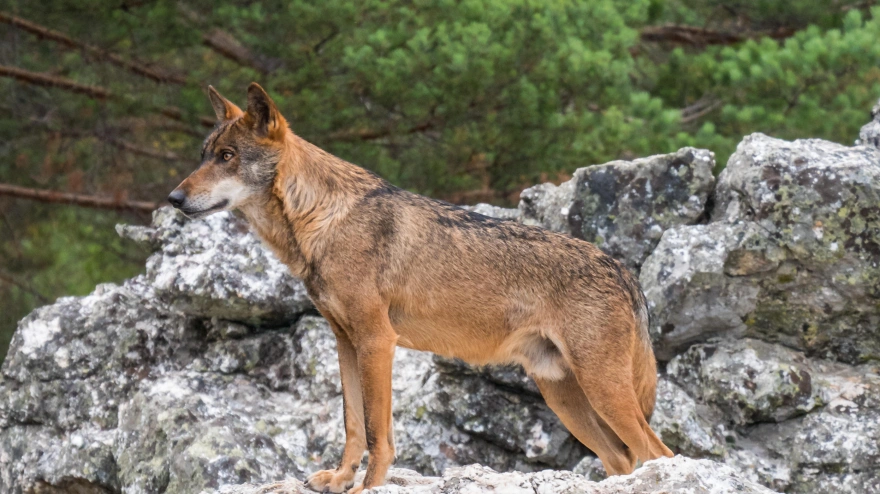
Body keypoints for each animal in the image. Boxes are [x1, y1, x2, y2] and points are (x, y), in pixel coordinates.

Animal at [168, 83, 674, 493]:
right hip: (566, 398)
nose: (173, 198)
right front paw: (339, 479)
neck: (323, 220)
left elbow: (377, 432)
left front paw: (367, 487)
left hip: (601, 391)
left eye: (227, 156)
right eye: (203, 155)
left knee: (658, 455)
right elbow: (352, 425)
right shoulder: (345, 342)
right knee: (623, 459)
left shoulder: (377, 341)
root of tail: (623, 269)